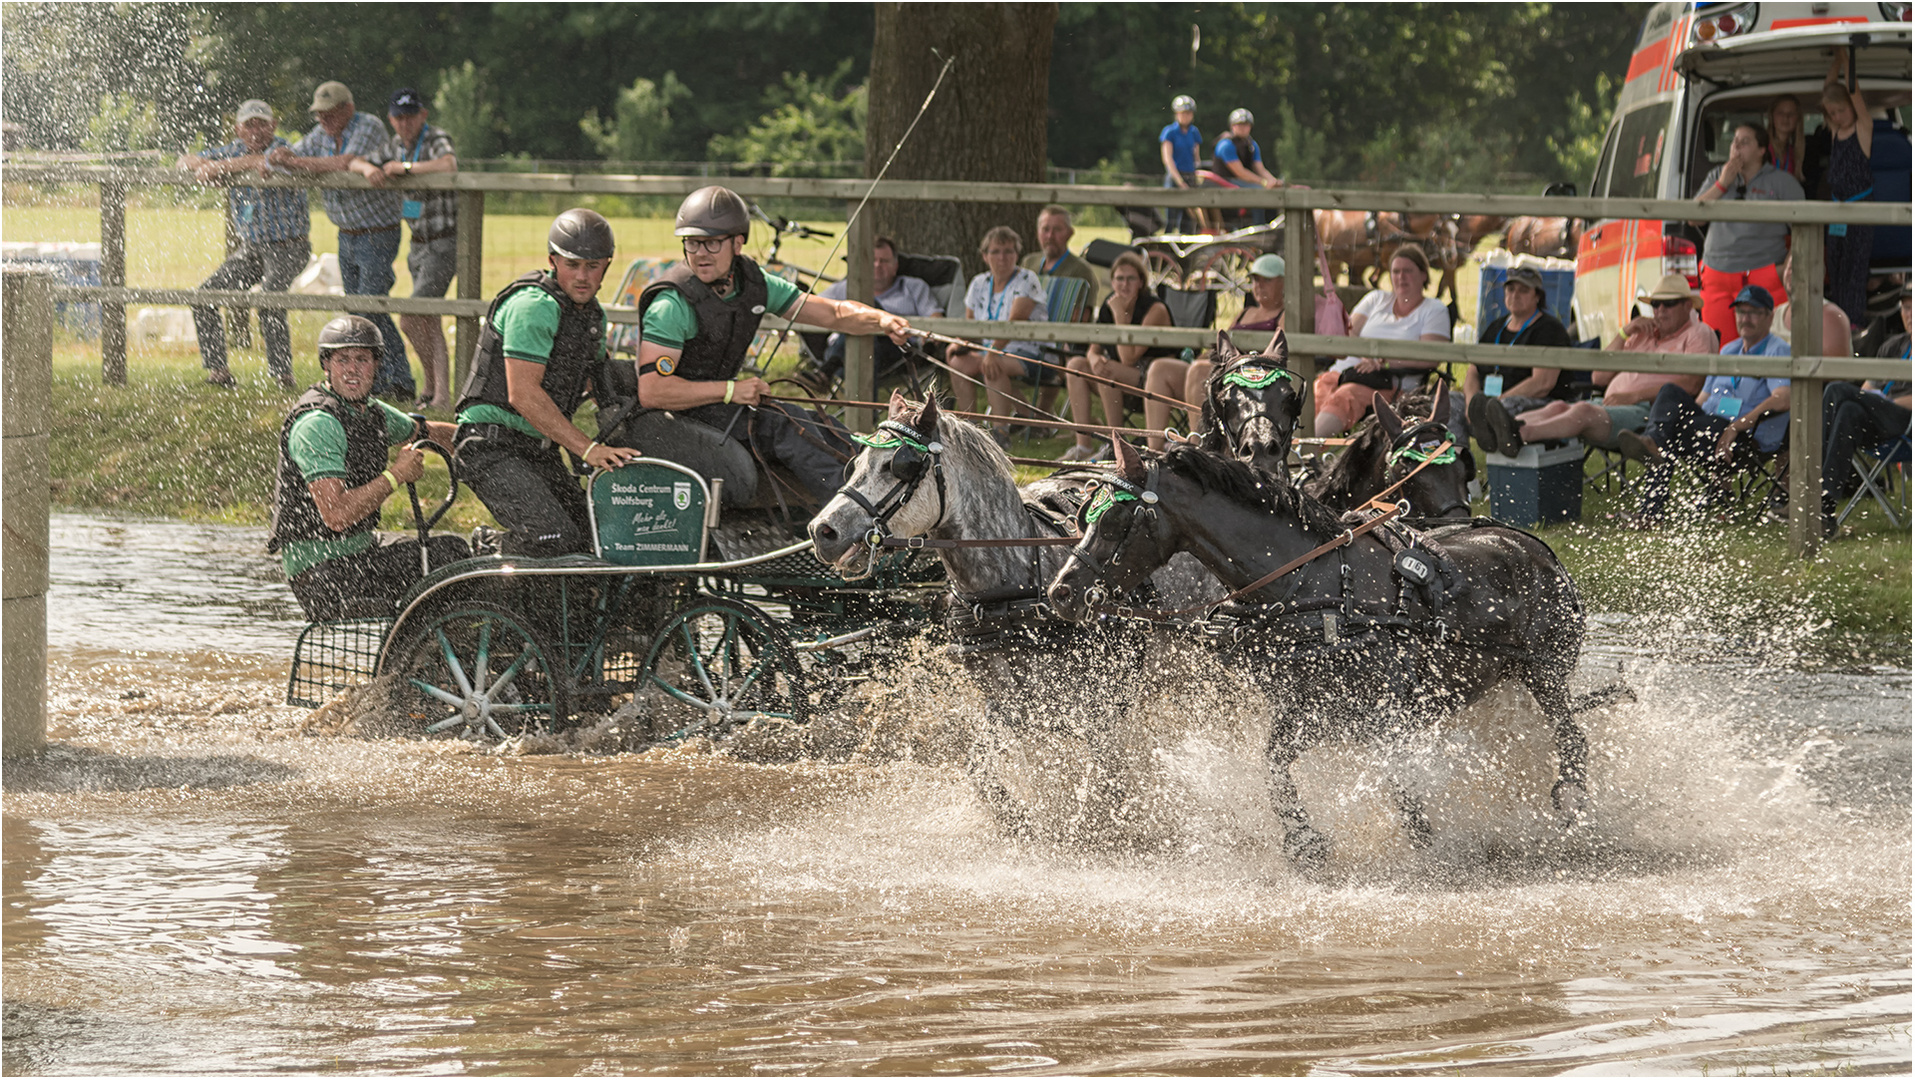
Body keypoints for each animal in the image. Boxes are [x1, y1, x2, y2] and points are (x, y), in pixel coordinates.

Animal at [1041, 434, 1593, 865]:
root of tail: (1538, 550)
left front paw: (1423, 839)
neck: (1311, 584)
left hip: (1545, 673)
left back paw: (1573, 810)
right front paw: (1305, 839)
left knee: (1573, 742)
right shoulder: (1307, 706)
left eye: (1117, 520)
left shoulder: (1371, 709)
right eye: (1085, 512)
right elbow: (1275, 766)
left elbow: (1396, 779)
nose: (1061, 592)